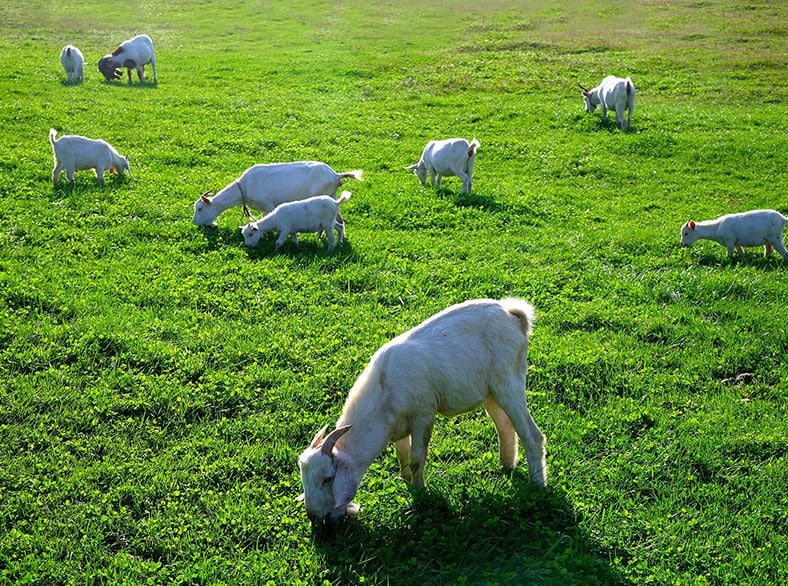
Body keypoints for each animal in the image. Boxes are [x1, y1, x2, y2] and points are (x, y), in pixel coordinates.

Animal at [191, 161, 364, 227]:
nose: (194, 223)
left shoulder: (268, 205)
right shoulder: (262, 208)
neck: (243, 189)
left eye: (200, 208)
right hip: (332, 195)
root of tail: (336, 175)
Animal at [296, 296, 548, 520]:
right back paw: (506, 467)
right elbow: (402, 455)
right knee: (505, 427)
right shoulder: (398, 426)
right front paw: (405, 480)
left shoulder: (423, 415)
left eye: (328, 479)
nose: (314, 517)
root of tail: (512, 313)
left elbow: (417, 457)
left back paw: (538, 484)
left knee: (532, 435)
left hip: (509, 381)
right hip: (490, 393)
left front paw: (419, 493)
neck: (384, 386)